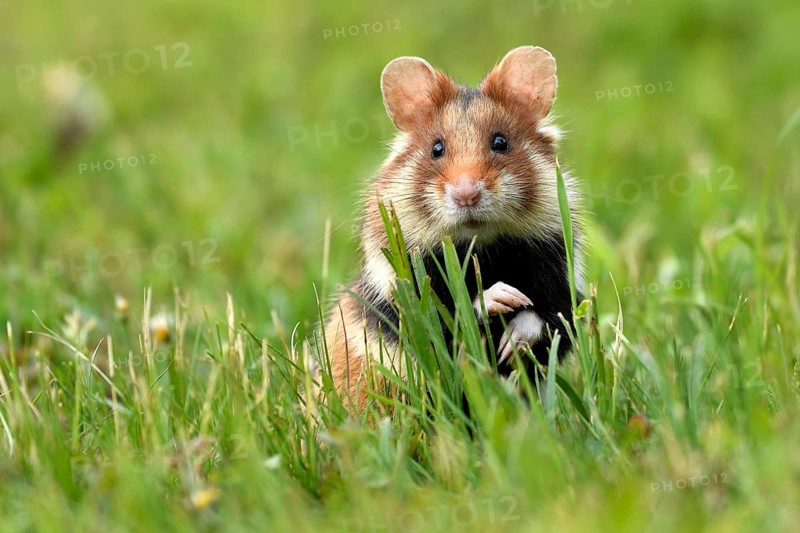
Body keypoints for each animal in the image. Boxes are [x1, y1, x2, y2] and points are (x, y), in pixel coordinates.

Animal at [323, 46, 584, 412]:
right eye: (437, 148)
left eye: (500, 142)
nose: (466, 194)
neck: (482, 244)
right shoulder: (405, 297)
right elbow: (450, 310)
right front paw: (501, 296)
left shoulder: (561, 281)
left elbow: (547, 318)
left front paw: (510, 340)